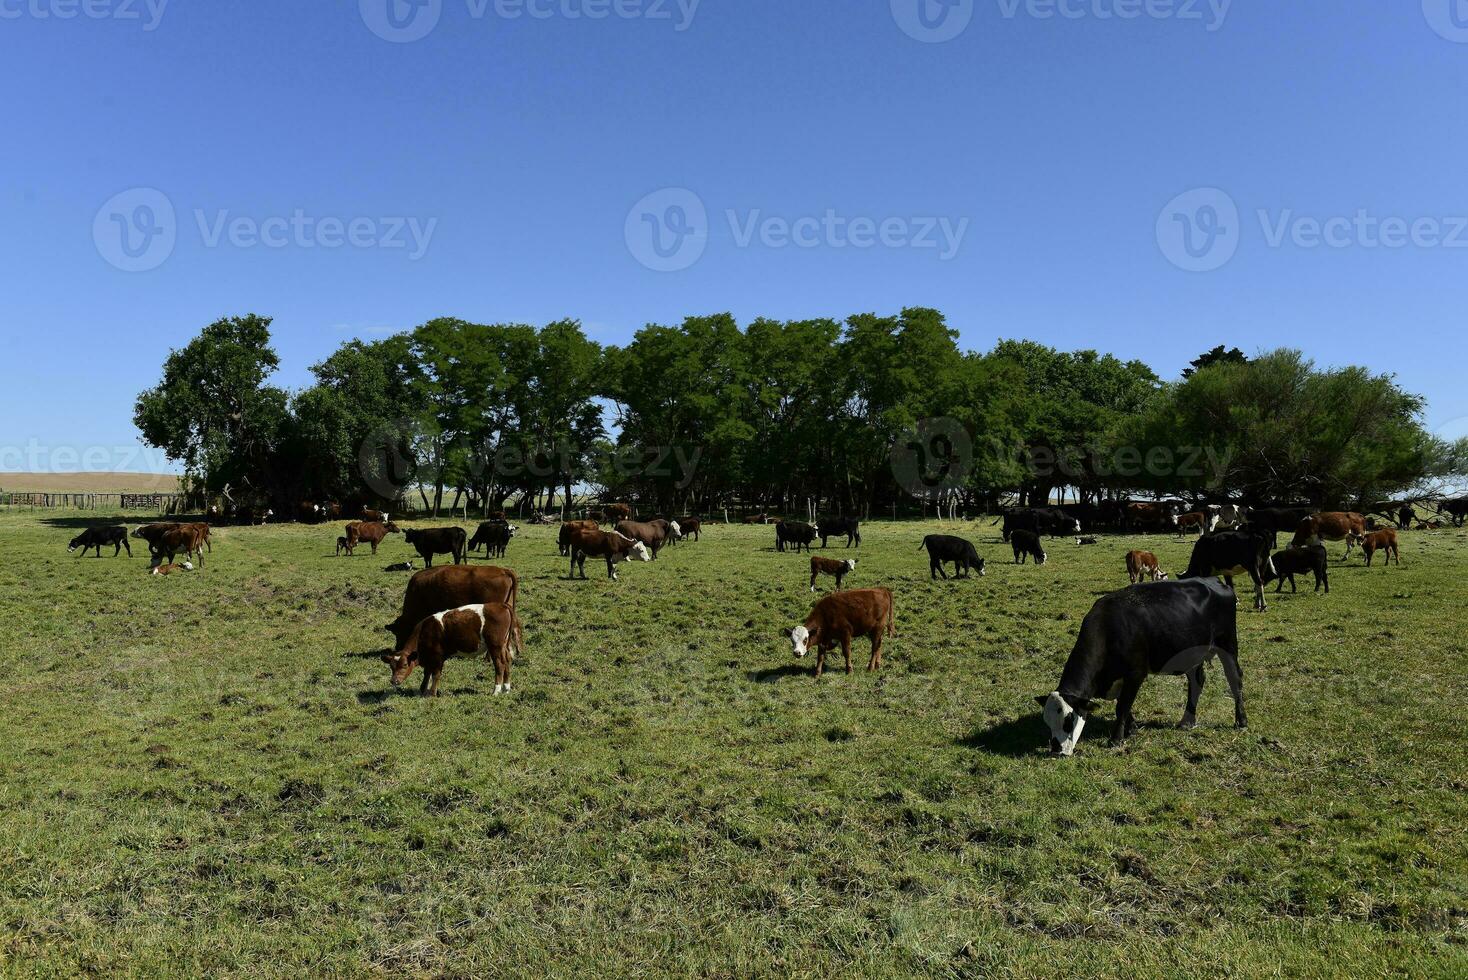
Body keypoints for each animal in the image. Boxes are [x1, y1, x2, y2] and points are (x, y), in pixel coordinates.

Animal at [378, 601, 522, 701]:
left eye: (405, 665)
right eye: (391, 667)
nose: (394, 681)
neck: (425, 632)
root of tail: (501, 605)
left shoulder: (438, 657)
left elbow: (435, 675)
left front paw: (432, 694)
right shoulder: (429, 659)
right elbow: (427, 674)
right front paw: (422, 691)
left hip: (495, 646)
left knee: (499, 665)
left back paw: (496, 691)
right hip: (503, 646)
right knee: (507, 662)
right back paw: (506, 688)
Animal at [1033, 578, 1250, 757]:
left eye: (1068, 721)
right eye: (1047, 721)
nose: (1056, 750)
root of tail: (1217, 582)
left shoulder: (1135, 674)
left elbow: (1121, 707)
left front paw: (1116, 739)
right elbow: (1123, 705)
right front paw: (1131, 728)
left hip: (1228, 644)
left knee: (1235, 680)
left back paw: (1241, 721)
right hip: (1191, 653)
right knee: (1197, 682)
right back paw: (1187, 721)